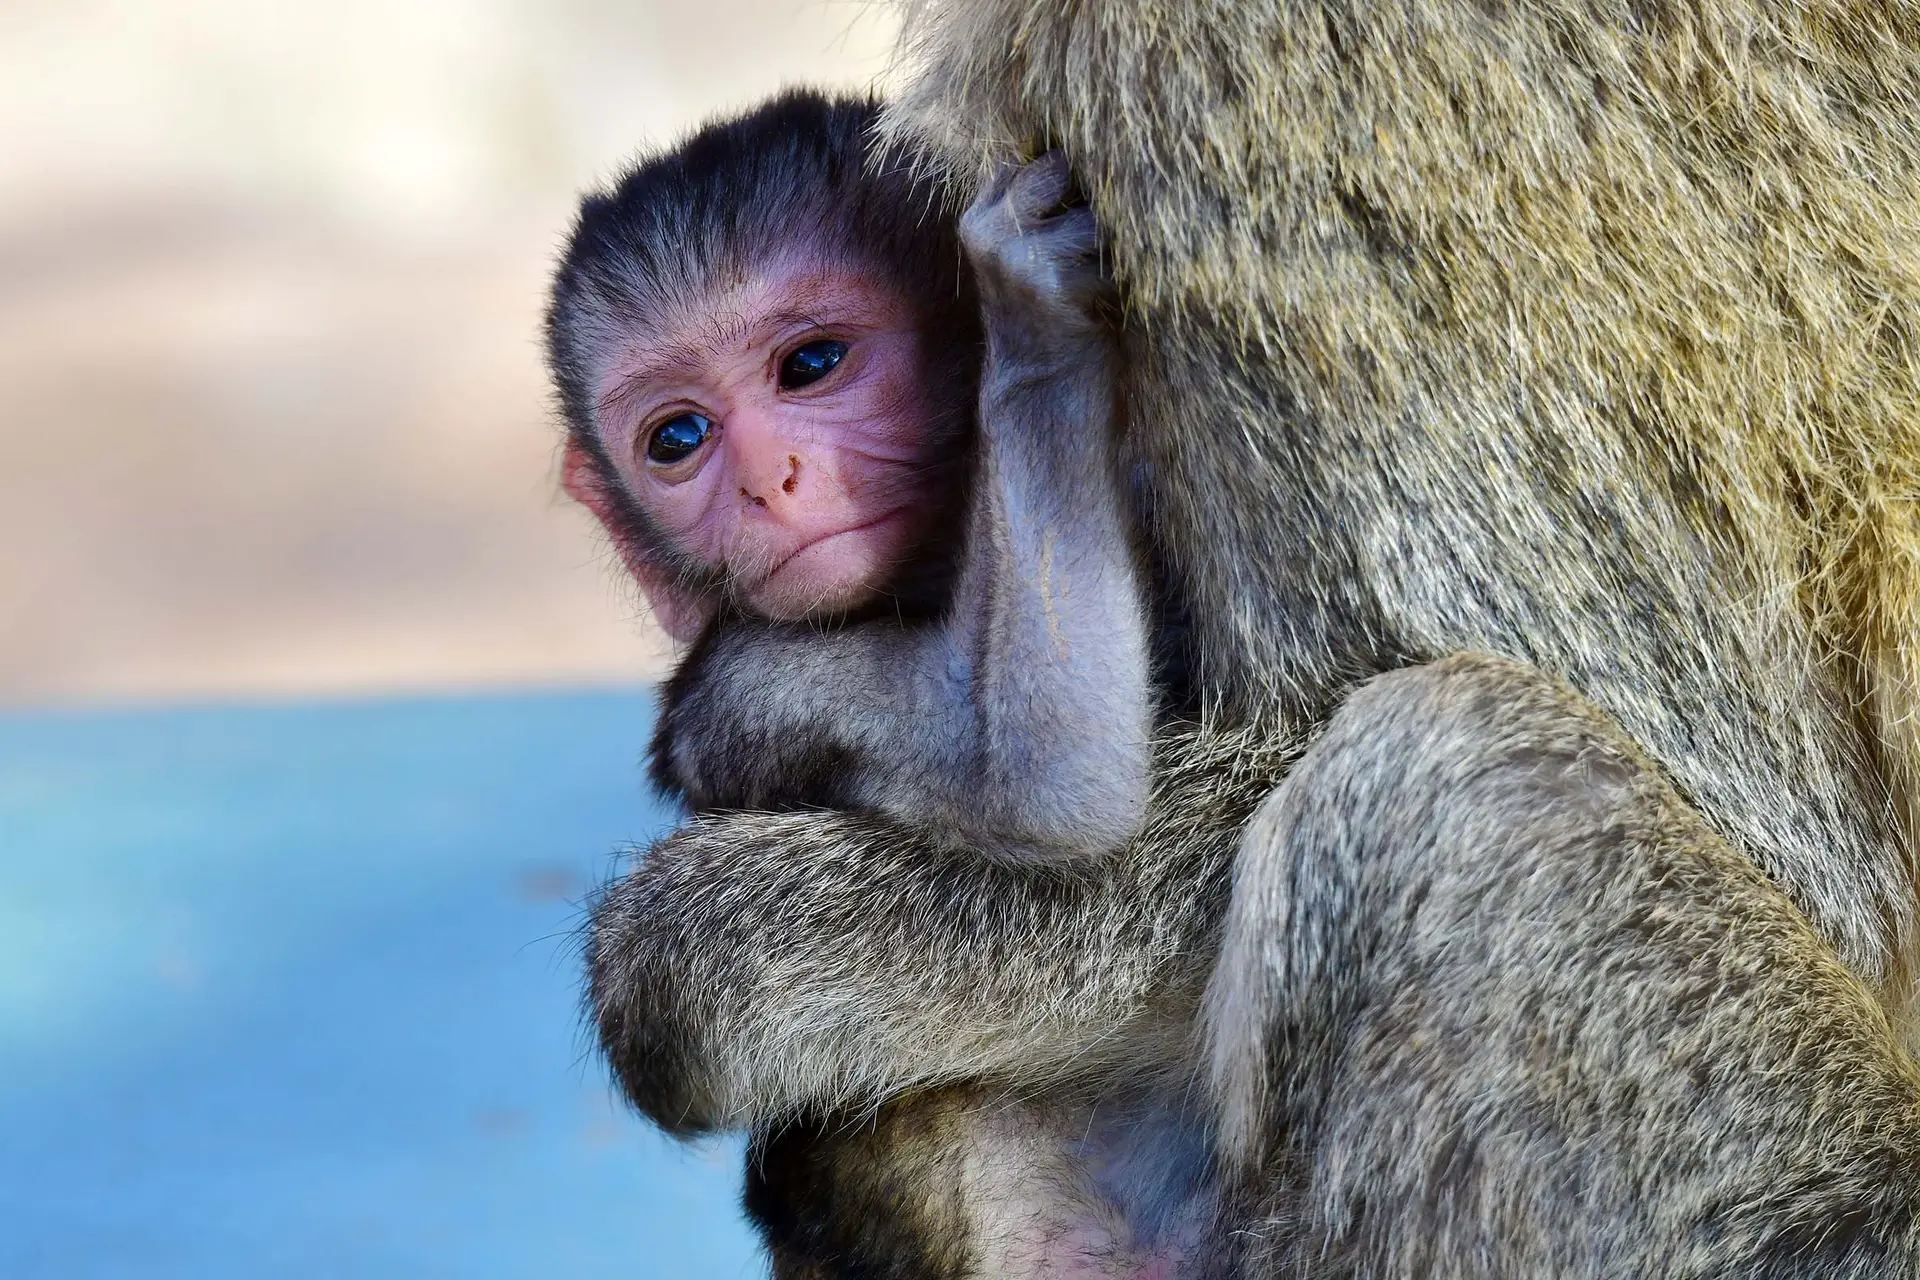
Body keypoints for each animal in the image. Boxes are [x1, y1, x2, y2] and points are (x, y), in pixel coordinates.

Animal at [579, 0, 1920, 1274]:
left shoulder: (1231, 61)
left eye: (812, 364)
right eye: (677, 438)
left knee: (1449, 769)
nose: (773, 485)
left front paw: (705, 944)